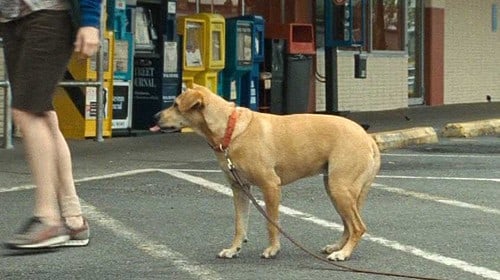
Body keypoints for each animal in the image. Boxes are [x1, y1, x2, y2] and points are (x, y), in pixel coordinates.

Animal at [150, 85, 380, 260]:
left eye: (175, 104)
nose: (154, 116)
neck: (230, 130)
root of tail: (368, 138)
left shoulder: (270, 186)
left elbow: (272, 224)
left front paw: (272, 249)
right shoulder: (239, 189)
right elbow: (239, 225)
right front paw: (233, 249)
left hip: (340, 188)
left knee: (357, 226)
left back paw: (343, 253)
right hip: (334, 189)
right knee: (348, 225)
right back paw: (337, 247)